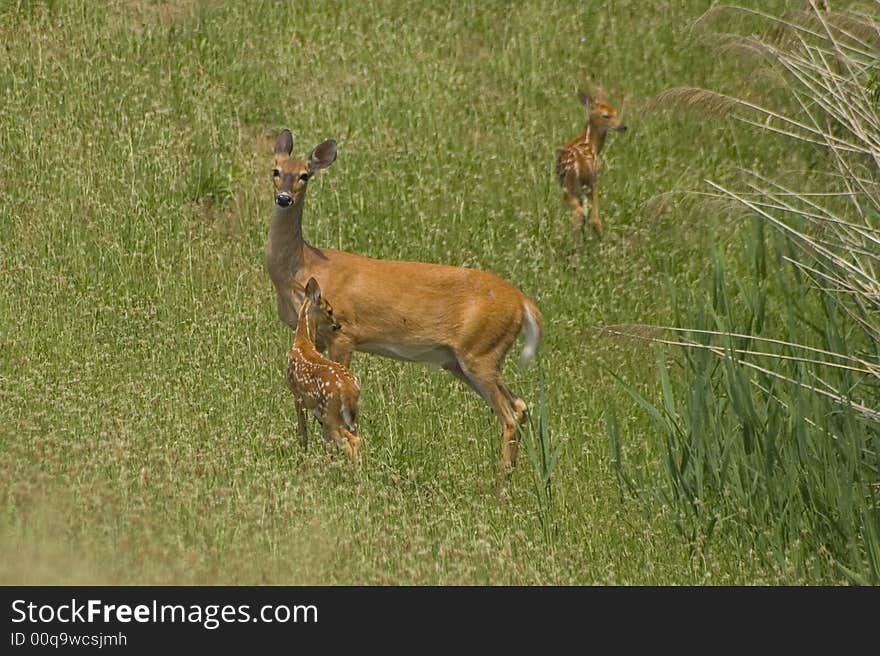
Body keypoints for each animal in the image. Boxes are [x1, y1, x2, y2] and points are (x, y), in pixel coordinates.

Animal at [264, 131, 544, 482]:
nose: (284, 198)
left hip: (481, 352)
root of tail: (523, 303)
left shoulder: (345, 333)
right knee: (520, 407)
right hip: (463, 360)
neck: (303, 265)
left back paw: (500, 483)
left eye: (305, 174)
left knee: (508, 416)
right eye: (275, 170)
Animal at [556, 86, 624, 238]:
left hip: (573, 187)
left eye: (616, 112)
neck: (591, 142)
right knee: (591, 216)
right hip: (588, 183)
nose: (624, 126)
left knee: (583, 213)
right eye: (606, 115)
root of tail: (580, 163)